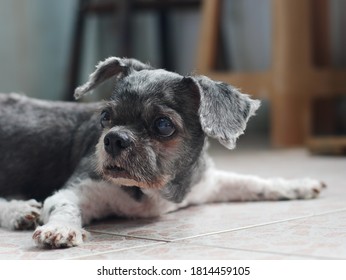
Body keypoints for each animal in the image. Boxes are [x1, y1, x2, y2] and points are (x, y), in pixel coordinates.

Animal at [0, 56, 324, 247]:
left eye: (163, 125)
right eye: (105, 116)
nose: (113, 139)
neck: (157, 190)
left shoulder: (207, 183)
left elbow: (254, 182)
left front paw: (298, 185)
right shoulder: (78, 189)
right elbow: (64, 205)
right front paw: (60, 229)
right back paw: (19, 211)